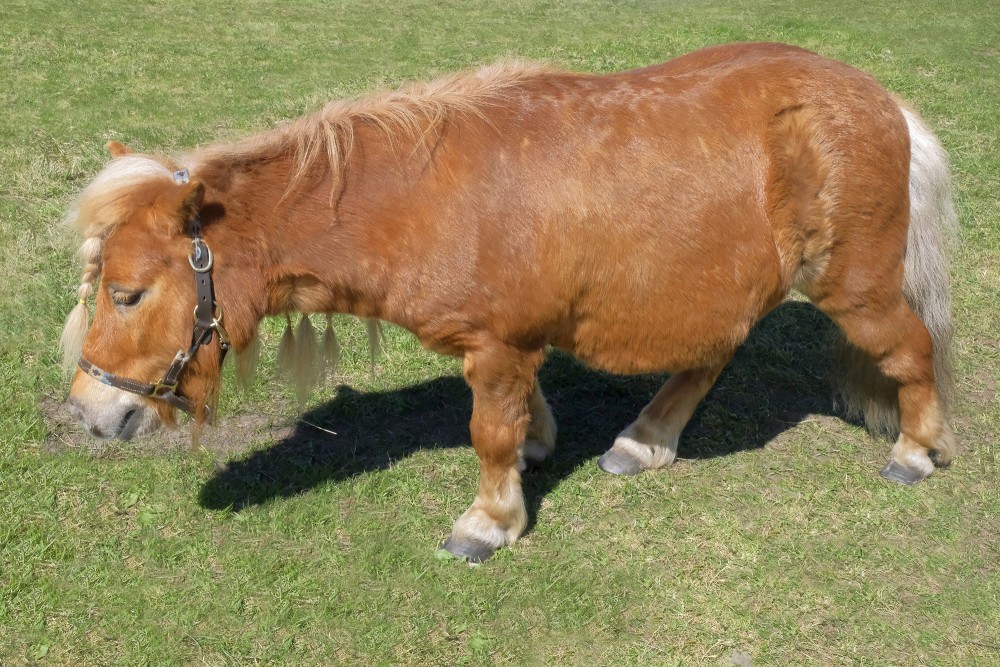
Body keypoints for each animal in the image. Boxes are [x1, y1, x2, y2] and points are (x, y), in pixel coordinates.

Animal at [62, 43, 960, 564]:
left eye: (128, 293)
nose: (88, 413)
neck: (422, 199)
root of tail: (884, 102)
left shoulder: (497, 344)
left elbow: (488, 431)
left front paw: (490, 520)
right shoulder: (511, 345)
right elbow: (522, 408)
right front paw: (538, 445)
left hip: (856, 287)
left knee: (912, 351)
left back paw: (917, 451)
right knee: (713, 352)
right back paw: (645, 439)